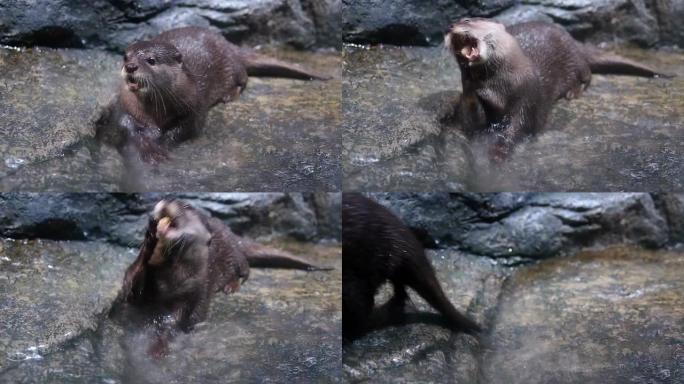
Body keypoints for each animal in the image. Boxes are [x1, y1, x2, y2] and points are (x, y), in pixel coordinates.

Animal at [115, 200, 332, 358]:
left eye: (186, 207)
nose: (166, 202)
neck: (169, 283)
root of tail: (233, 235)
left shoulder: (192, 295)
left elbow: (176, 326)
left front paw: (157, 349)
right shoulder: (134, 286)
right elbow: (132, 286)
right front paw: (151, 236)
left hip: (233, 253)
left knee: (246, 269)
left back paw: (231, 286)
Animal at [444, 17, 672, 162]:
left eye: (467, 20)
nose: (449, 27)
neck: (499, 87)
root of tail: (574, 40)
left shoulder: (528, 99)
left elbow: (519, 126)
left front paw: (499, 153)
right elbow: (472, 116)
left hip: (574, 59)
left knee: (587, 73)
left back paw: (573, 92)